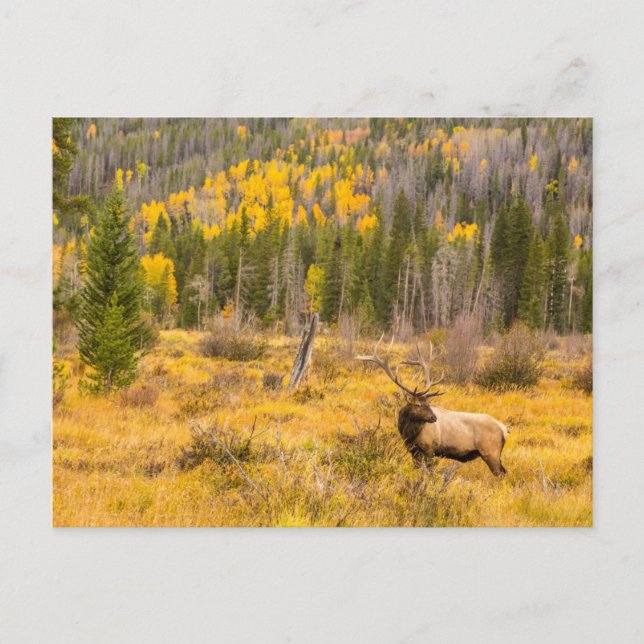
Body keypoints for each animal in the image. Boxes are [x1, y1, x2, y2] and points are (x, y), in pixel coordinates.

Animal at [356, 337, 510, 477]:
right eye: (417, 404)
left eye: (429, 404)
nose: (434, 417)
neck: (409, 433)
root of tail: (504, 429)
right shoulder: (413, 450)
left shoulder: (429, 449)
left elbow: (429, 471)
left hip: (491, 452)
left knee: (501, 473)